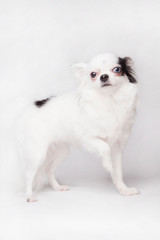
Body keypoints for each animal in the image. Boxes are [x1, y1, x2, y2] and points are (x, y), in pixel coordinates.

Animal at [17, 53, 139, 202]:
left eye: (117, 69)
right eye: (93, 74)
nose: (103, 76)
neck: (109, 99)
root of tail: (28, 111)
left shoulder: (117, 147)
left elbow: (118, 173)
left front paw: (124, 190)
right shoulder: (87, 139)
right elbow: (104, 147)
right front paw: (107, 164)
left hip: (61, 151)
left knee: (48, 169)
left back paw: (57, 187)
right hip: (37, 153)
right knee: (29, 175)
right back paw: (29, 196)